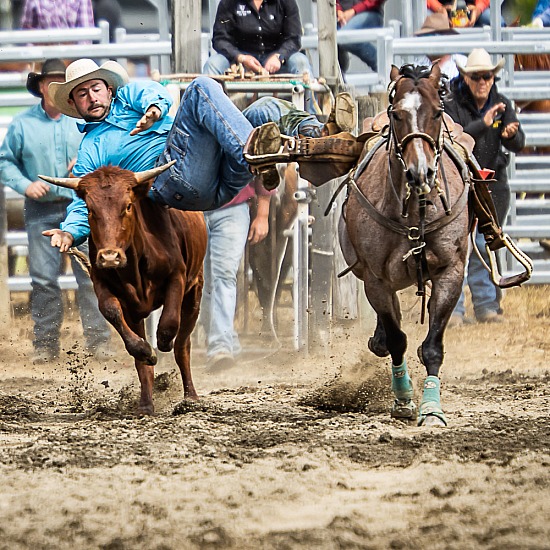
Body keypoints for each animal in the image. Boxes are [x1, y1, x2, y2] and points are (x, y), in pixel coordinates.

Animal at [340, 63, 470, 426]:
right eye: (397, 114)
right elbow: (398, 339)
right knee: (390, 327)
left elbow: (432, 346)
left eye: (437, 112)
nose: (420, 172)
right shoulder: (375, 279)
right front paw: (402, 400)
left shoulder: (451, 272)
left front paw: (432, 409)